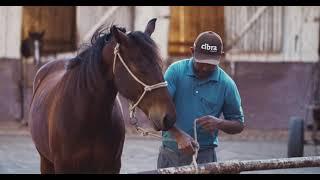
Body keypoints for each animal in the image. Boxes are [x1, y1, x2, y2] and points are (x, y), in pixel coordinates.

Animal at [28, 17, 176, 173]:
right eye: (139, 67)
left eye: (160, 65)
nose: (169, 117)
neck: (87, 119)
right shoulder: (63, 166)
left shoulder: (112, 166)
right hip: (45, 160)